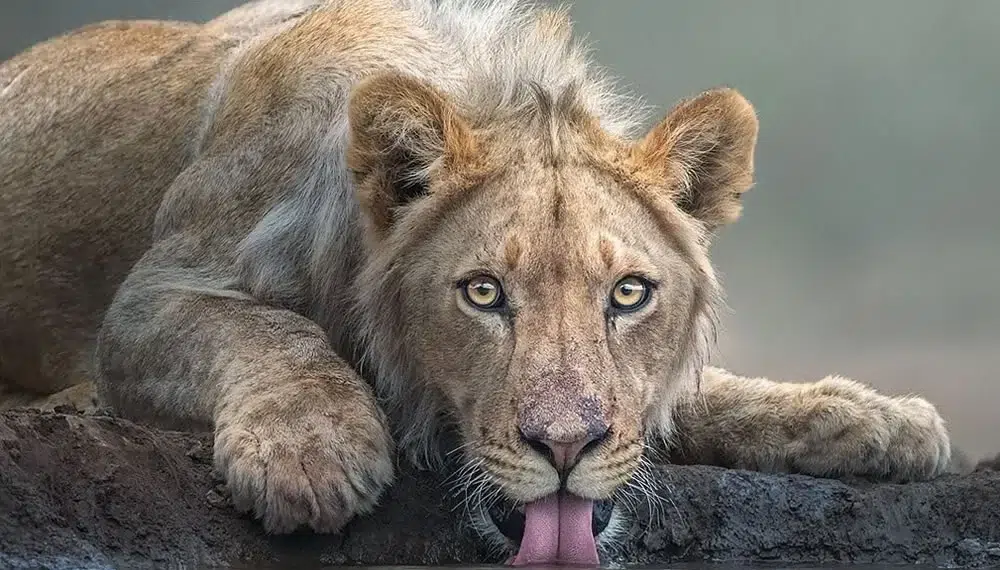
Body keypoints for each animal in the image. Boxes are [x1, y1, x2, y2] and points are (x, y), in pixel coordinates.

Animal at [0, 0, 951, 565]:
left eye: (629, 294)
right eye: (484, 293)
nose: (566, 448)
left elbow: (700, 393)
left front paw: (871, 417)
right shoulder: (153, 299)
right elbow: (266, 330)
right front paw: (311, 454)